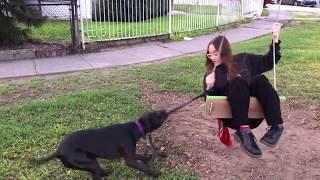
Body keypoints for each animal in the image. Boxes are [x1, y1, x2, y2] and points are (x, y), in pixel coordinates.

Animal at [33, 110, 169, 179]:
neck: (135, 128)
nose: (164, 110)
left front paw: (152, 157)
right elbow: (144, 167)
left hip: (91, 161)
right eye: (158, 114)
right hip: (89, 163)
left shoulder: (129, 154)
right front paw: (156, 174)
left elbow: (143, 156)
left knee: (98, 170)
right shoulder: (130, 160)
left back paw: (107, 172)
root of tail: (58, 151)